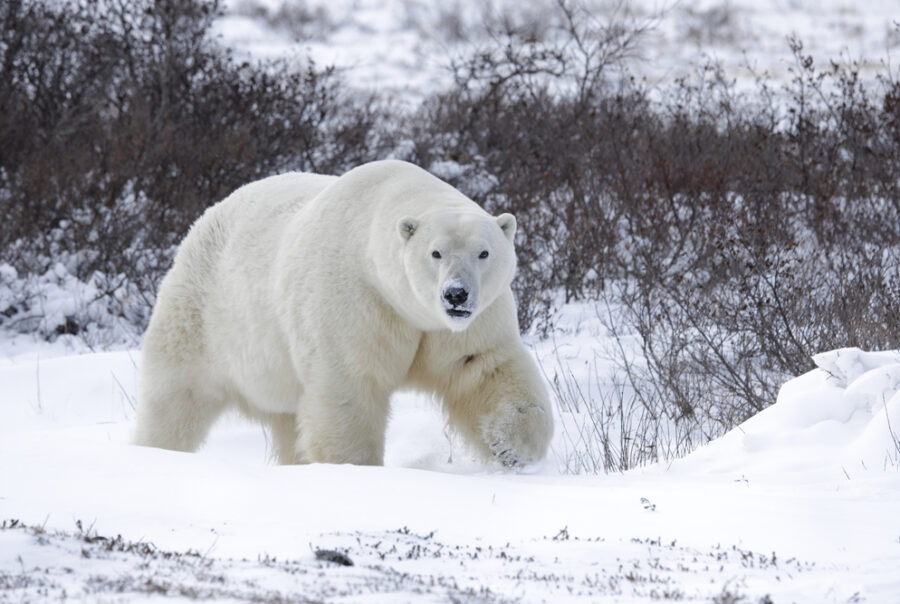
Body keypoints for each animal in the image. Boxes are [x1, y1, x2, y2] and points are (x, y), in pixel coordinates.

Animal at [133, 159, 552, 468]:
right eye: (436, 252)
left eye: (484, 252)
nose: (456, 294)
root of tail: (206, 216)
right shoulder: (357, 299)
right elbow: (349, 384)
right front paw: (355, 468)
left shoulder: (466, 323)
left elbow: (483, 367)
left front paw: (512, 447)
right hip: (200, 312)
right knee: (175, 400)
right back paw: (154, 451)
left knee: (288, 420)